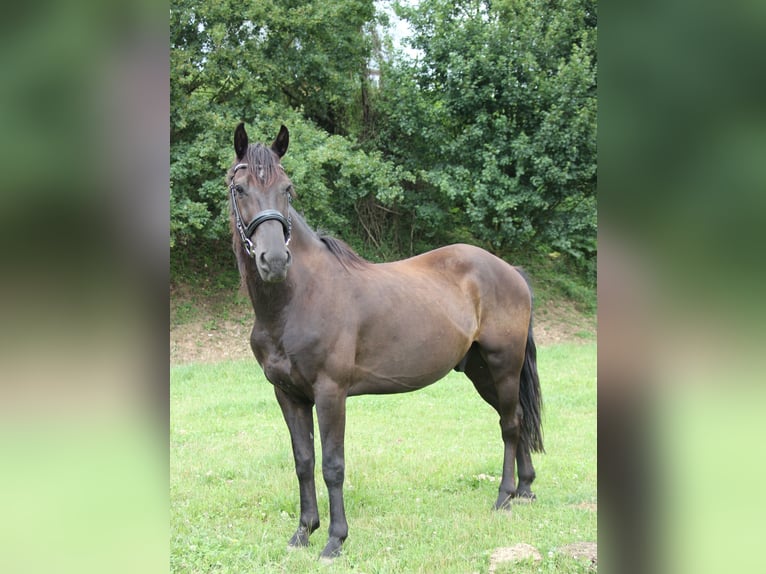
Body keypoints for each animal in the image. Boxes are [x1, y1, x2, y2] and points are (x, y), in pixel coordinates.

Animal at [226, 123, 544, 560]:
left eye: (287, 189)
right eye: (240, 188)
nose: (274, 261)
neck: (298, 298)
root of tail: (509, 271)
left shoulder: (331, 392)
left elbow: (333, 465)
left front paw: (335, 540)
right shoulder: (288, 394)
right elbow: (303, 460)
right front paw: (303, 532)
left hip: (504, 365)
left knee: (511, 425)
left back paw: (504, 497)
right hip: (481, 372)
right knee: (518, 418)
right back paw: (526, 489)